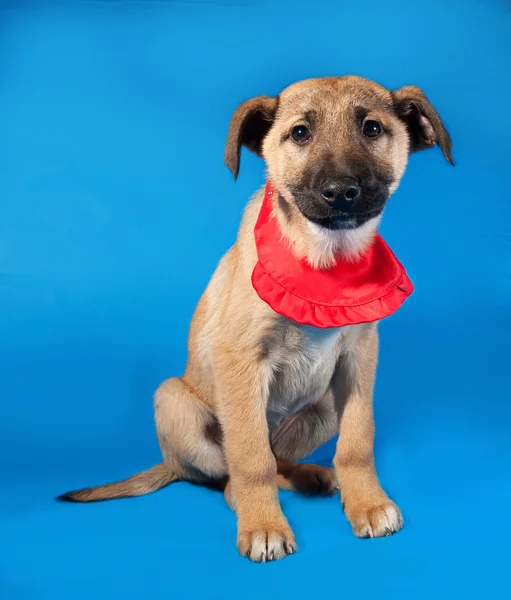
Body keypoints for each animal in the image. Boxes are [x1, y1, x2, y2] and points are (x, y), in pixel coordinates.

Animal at [58, 76, 454, 564]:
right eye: (300, 133)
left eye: (372, 128)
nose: (342, 191)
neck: (324, 261)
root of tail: (169, 463)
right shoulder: (241, 356)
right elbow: (251, 459)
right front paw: (264, 525)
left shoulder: (359, 356)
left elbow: (357, 441)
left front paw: (367, 503)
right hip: (174, 398)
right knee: (230, 475)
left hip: (324, 404)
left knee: (278, 456)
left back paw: (311, 475)